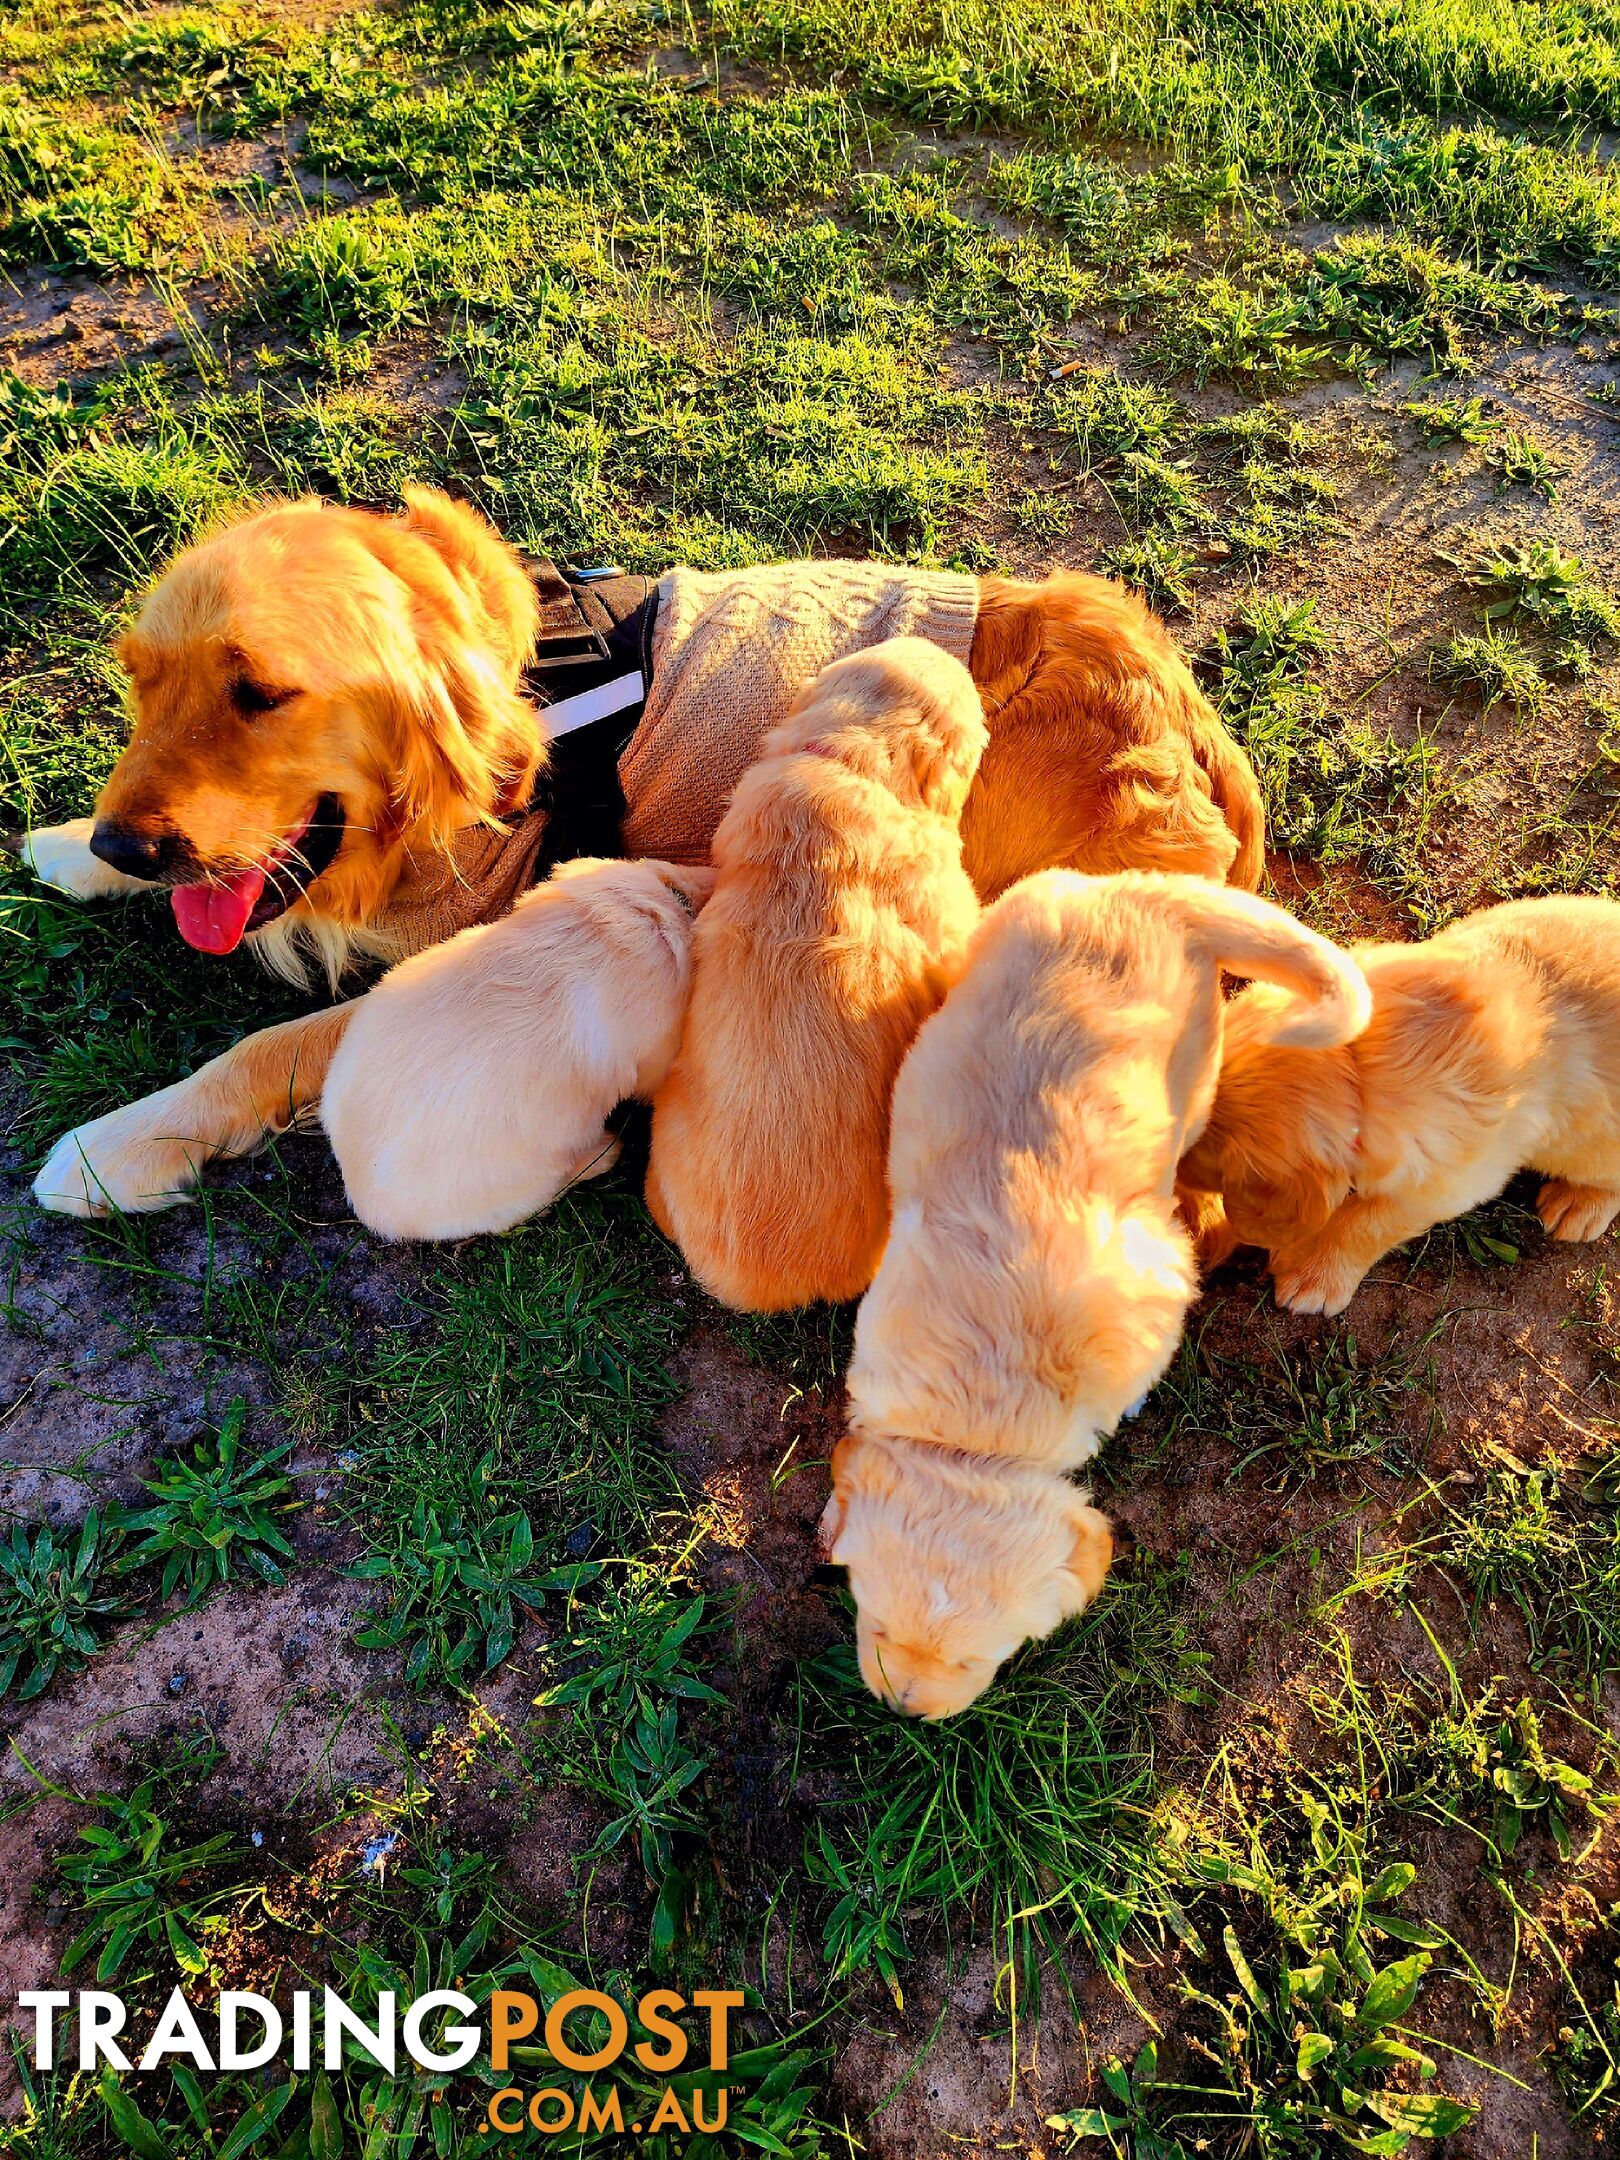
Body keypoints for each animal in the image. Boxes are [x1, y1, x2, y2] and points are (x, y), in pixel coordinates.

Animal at [825, 864, 1373, 1719]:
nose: (906, 1710)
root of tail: (1149, 893)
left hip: (1196, 1062)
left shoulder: (1160, 1293)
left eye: (978, 1658)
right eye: (874, 1625)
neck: (980, 1427)